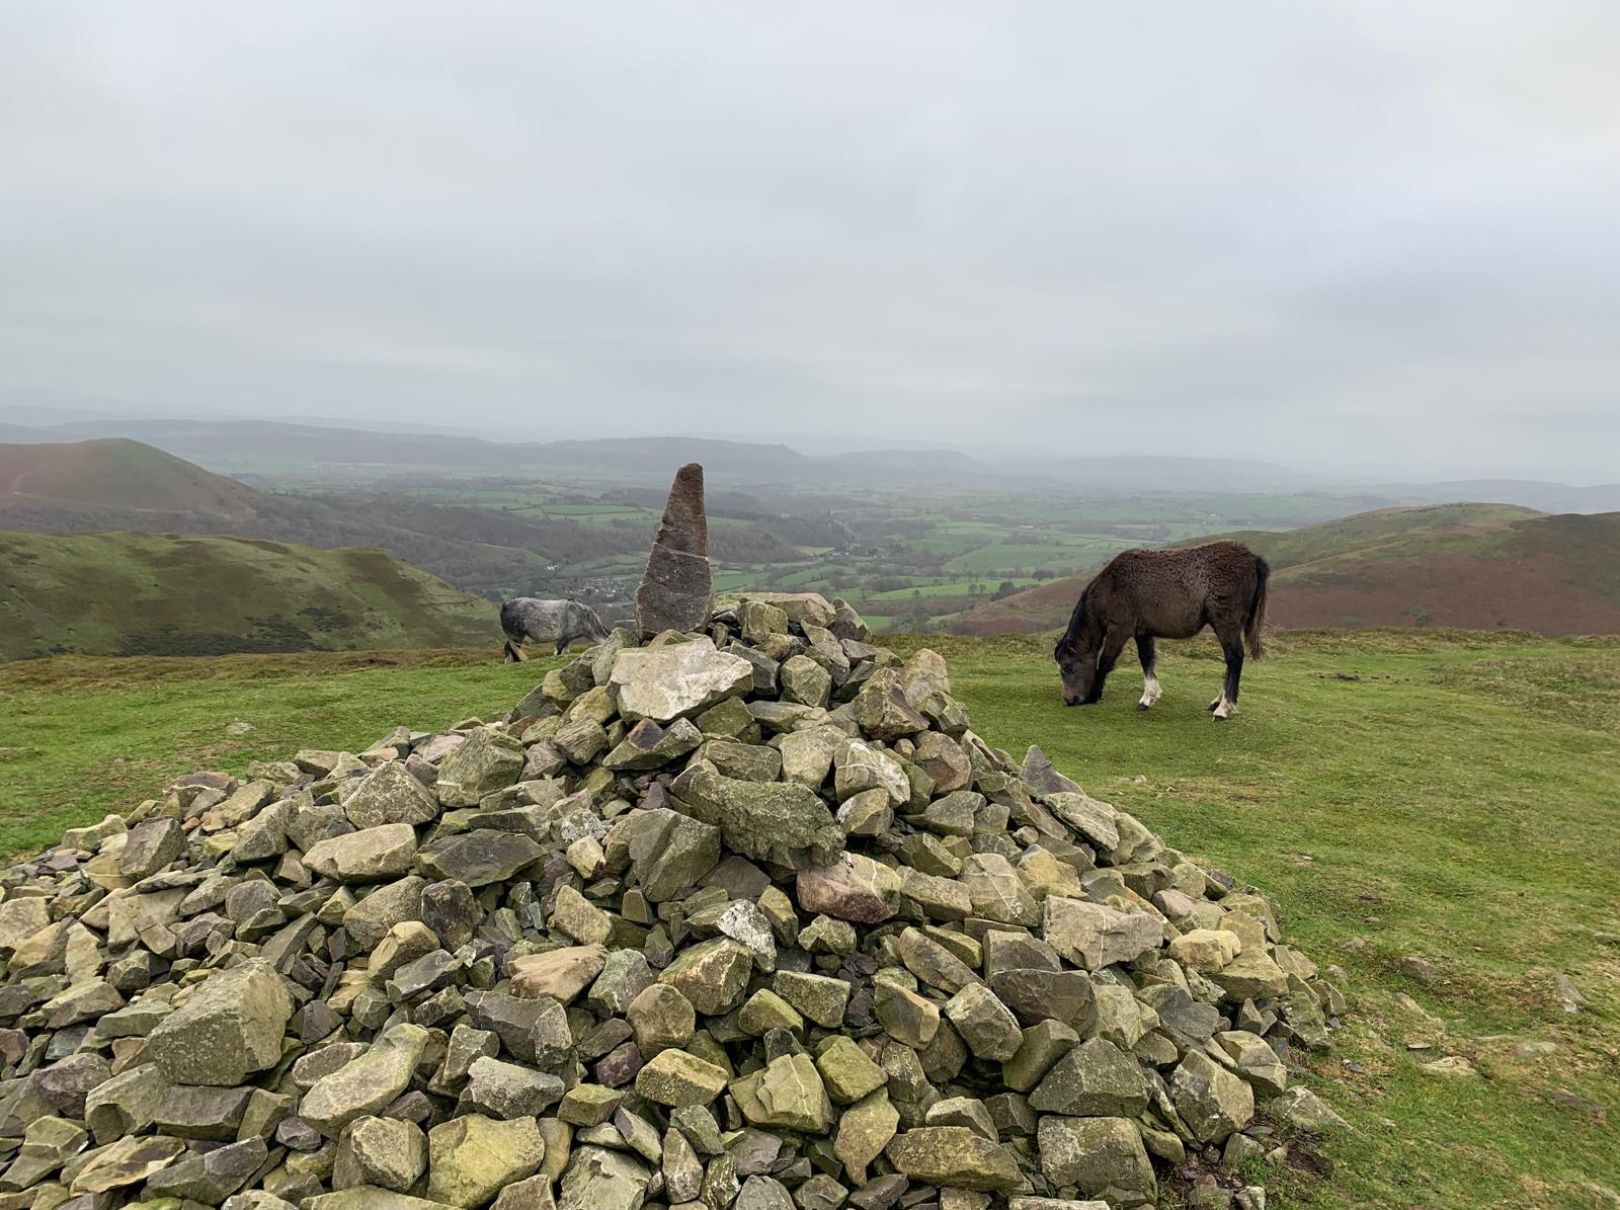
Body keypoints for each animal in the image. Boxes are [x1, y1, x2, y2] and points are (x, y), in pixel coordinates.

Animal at [1053, 541, 1269, 720]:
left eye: (1068, 667)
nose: (1068, 700)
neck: (1112, 586)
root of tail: (1253, 559)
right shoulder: (1142, 633)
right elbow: (1146, 660)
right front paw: (1149, 696)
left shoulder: (1119, 630)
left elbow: (1106, 662)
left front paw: (1095, 694)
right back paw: (1217, 702)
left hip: (1225, 623)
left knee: (1234, 658)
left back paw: (1223, 708)